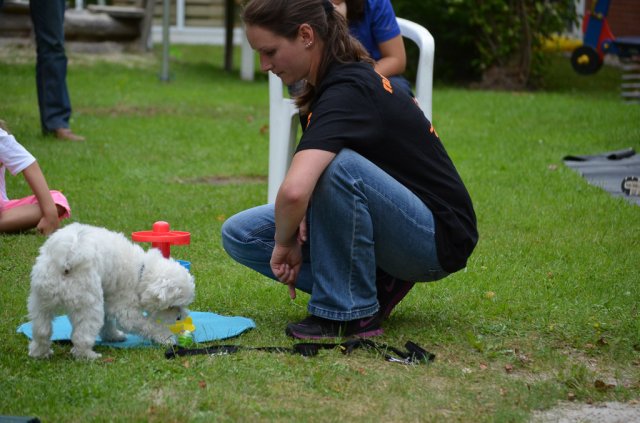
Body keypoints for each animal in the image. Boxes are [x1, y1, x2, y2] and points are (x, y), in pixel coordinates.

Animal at [27, 223, 196, 360]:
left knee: (41, 330)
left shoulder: (108, 299)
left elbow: (107, 322)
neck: (141, 271)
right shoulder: (126, 311)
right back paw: (88, 356)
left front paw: (113, 337)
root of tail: (68, 257)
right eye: (172, 306)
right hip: (89, 305)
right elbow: (148, 325)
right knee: (81, 336)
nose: (180, 318)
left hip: (41, 300)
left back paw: (40, 353)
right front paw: (166, 338)